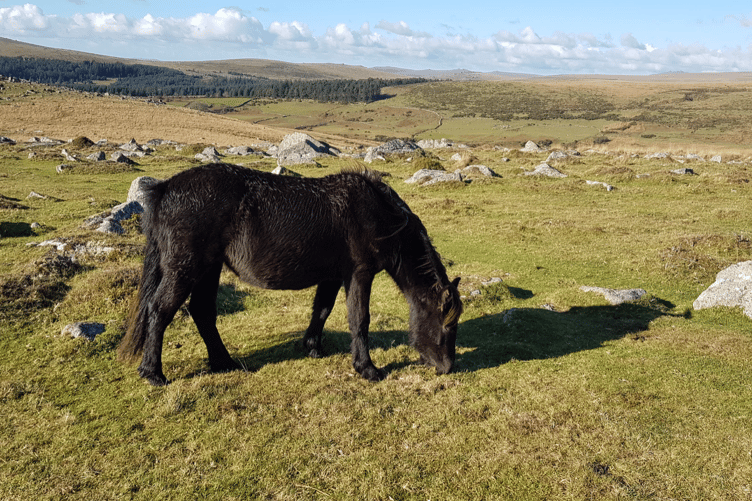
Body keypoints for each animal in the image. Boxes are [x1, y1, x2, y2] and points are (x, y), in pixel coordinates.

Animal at [118, 163, 462, 386]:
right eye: (446, 325)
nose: (446, 368)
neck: (379, 214)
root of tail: (165, 188)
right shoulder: (360, 274)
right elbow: (359, 319)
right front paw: (367, 369)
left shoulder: (333, 276)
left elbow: (322, 310)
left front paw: (313, 347)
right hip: (186, 267)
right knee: (160, 310)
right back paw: (153, 373)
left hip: (208, 268)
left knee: (202, 311)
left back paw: (225, 363)